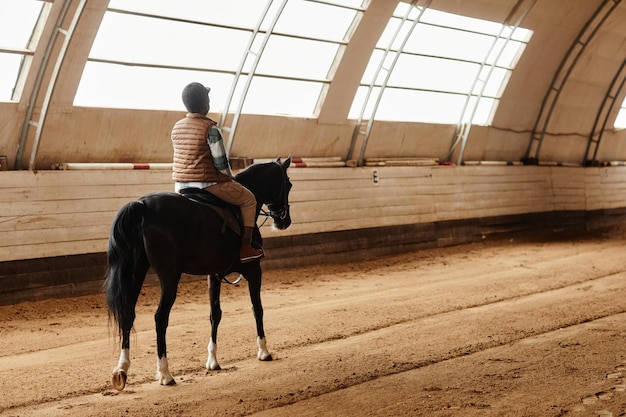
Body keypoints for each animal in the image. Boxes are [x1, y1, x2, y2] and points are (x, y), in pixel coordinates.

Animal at [103, 156, 292, 390]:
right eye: (288, 185)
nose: (284, 220)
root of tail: (142, 205)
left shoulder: (214, 275)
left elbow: (215, 314)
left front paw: (212, 361)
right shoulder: (254, 271)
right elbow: (257, 309)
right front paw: (264, 351)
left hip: (135, 272)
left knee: (128, 314)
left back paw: (122, 369)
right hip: (169, 276)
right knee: (160, 318)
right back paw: (165, 373)